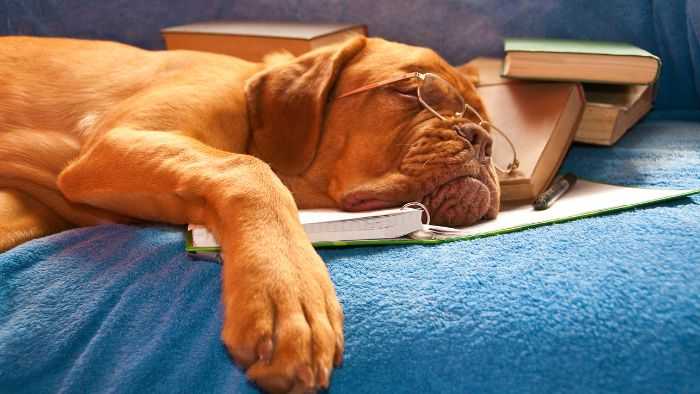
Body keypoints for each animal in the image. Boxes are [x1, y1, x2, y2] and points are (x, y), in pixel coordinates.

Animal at [0, 35, 498, 392]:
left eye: (486, 122)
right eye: (413, 91)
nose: (482, 139)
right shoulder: (117, 142)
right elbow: (249, 170)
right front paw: (288, 292)